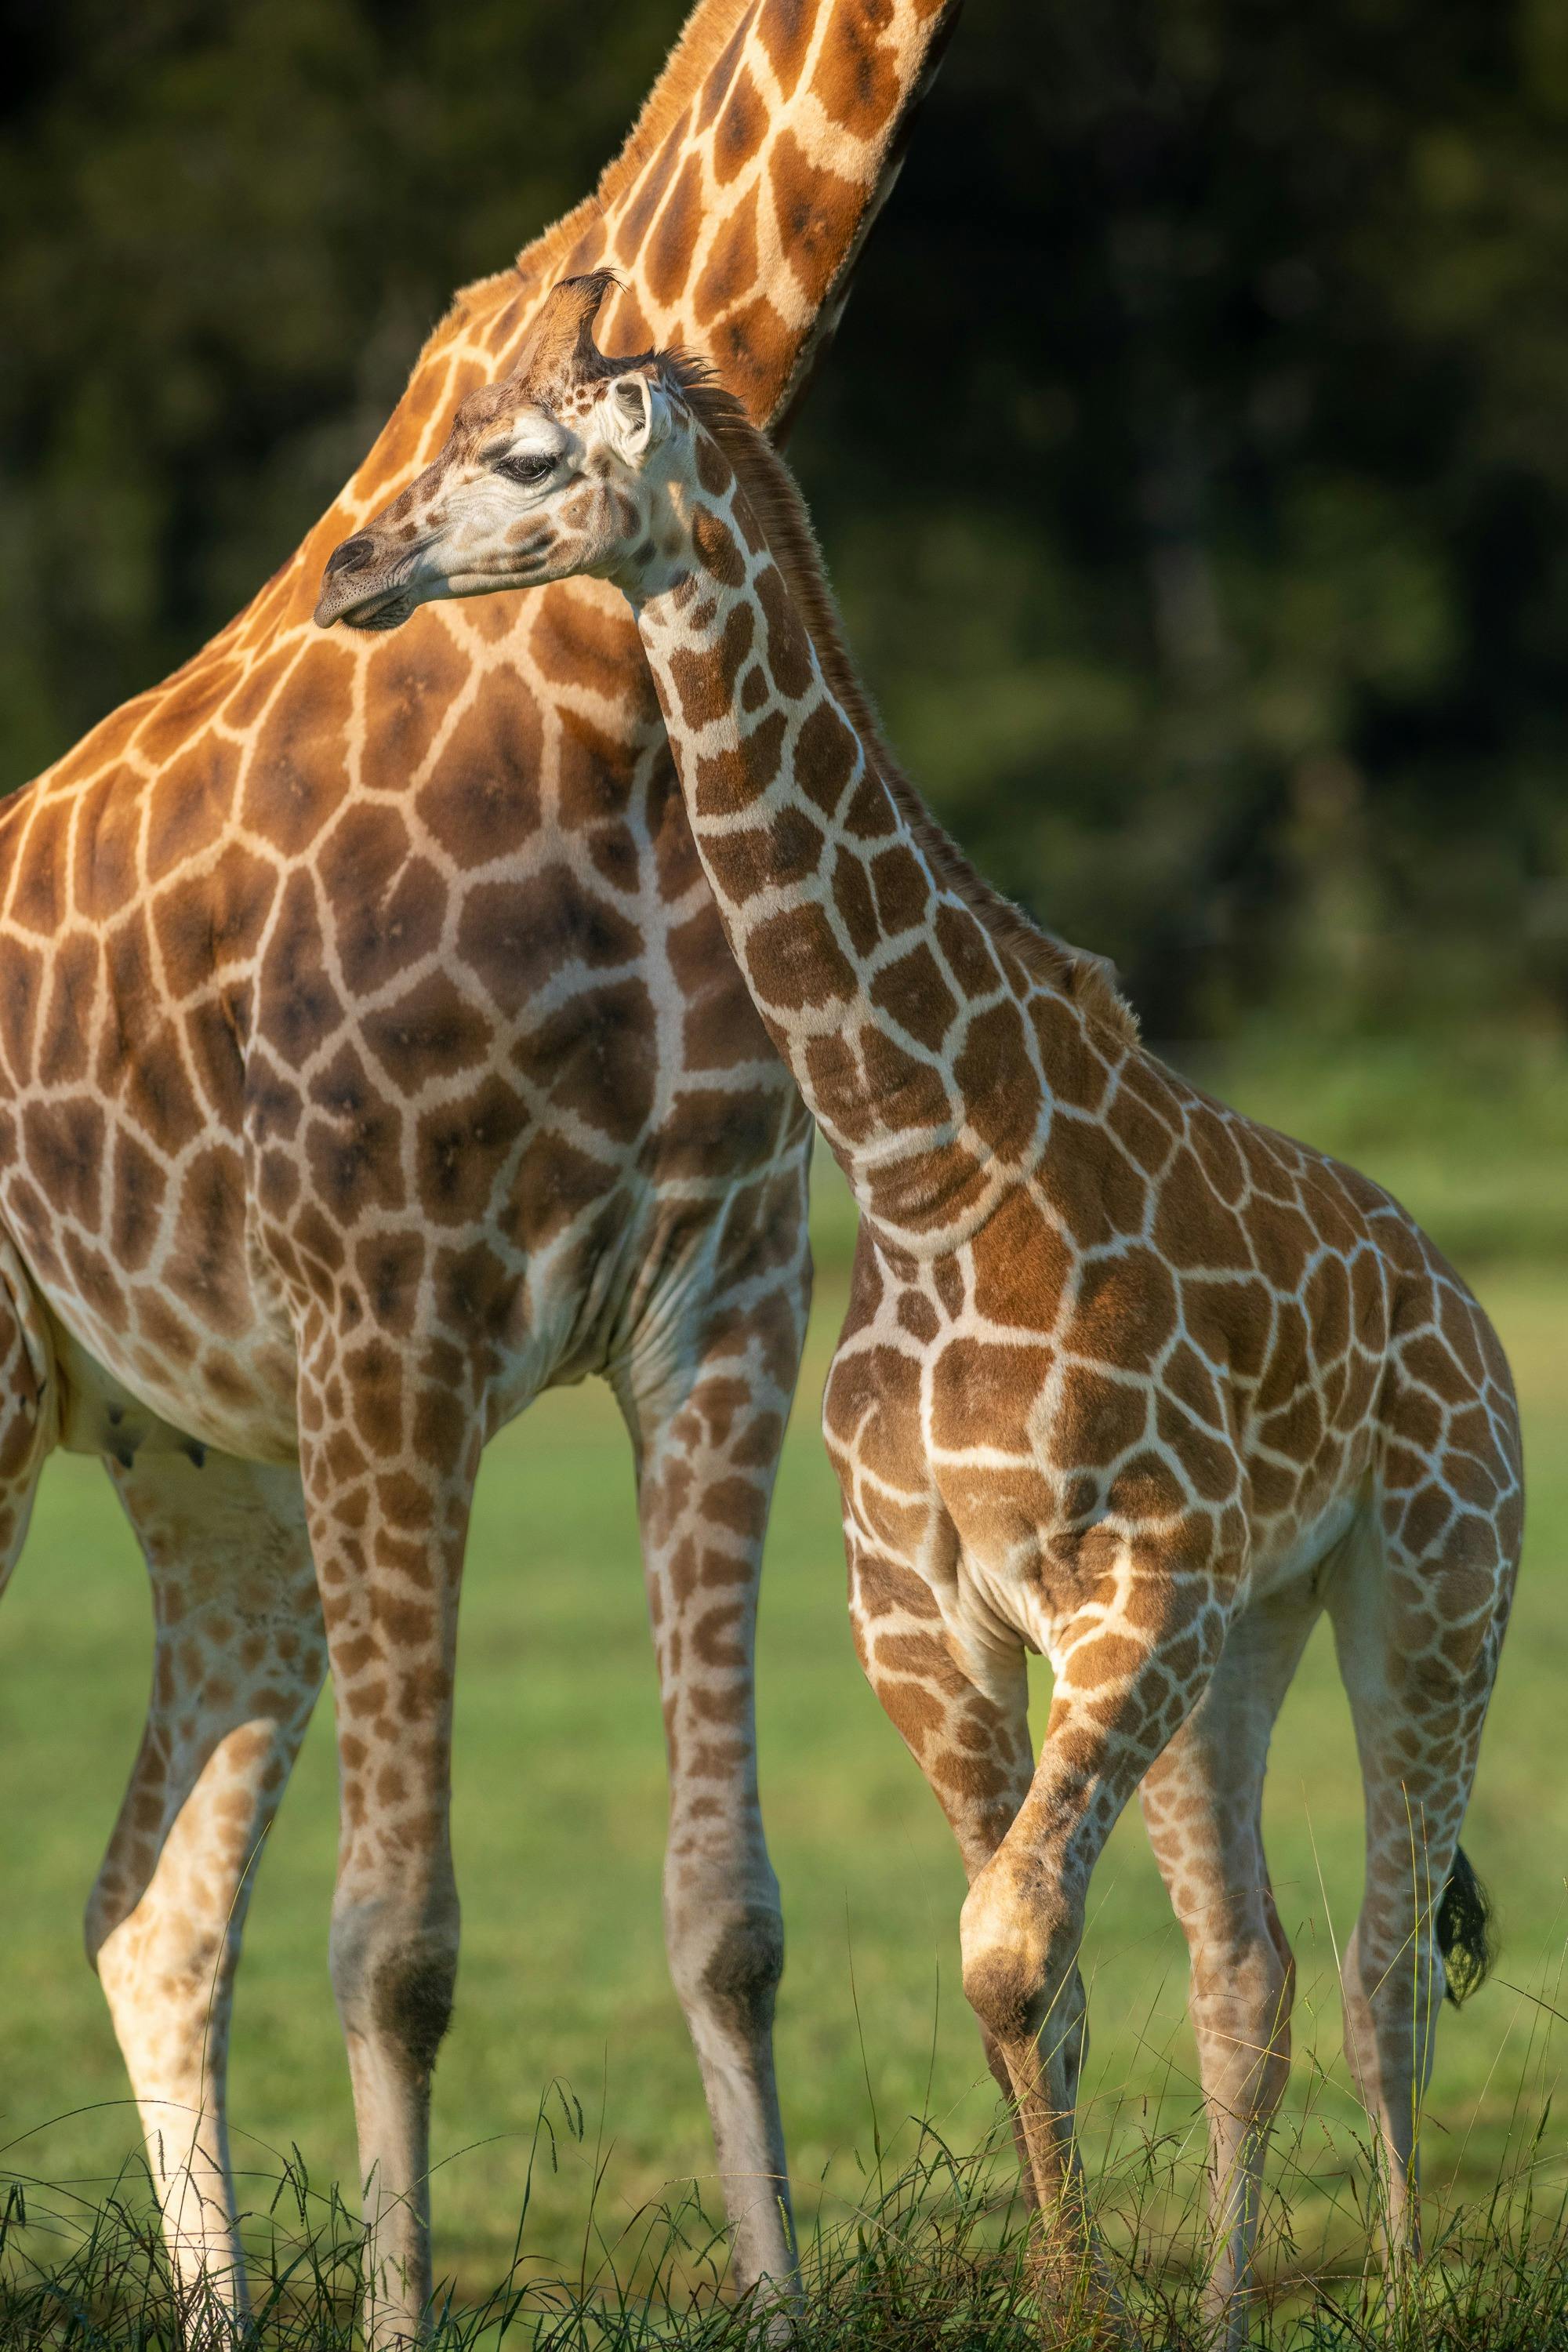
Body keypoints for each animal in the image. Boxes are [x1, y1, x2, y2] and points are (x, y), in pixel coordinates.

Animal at [0, 4, 963, 2337]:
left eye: (532, 457)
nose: (363, 570)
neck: (604, 707)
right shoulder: (393, 1309)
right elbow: (397, 1941)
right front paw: (400, 2313)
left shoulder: (720, 1298)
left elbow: (728, 1914)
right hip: (31, 1413)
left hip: (208, 1475)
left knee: (145, 1908)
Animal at [319, 274, 1524, 2344]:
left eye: (530, 457)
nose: (354, 567)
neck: (921, 1154)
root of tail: (1458, 1300)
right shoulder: (928, 1614)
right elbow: (1031, 1982)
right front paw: (1071, 2303)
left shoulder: (1127, 1582)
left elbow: (1011, 1950)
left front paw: (1086, 2303)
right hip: (1247, 1631)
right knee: (1256, 1969)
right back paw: (1228, 2299)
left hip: (1432, 1585)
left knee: (1383, 1962)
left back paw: (1389, 2278)